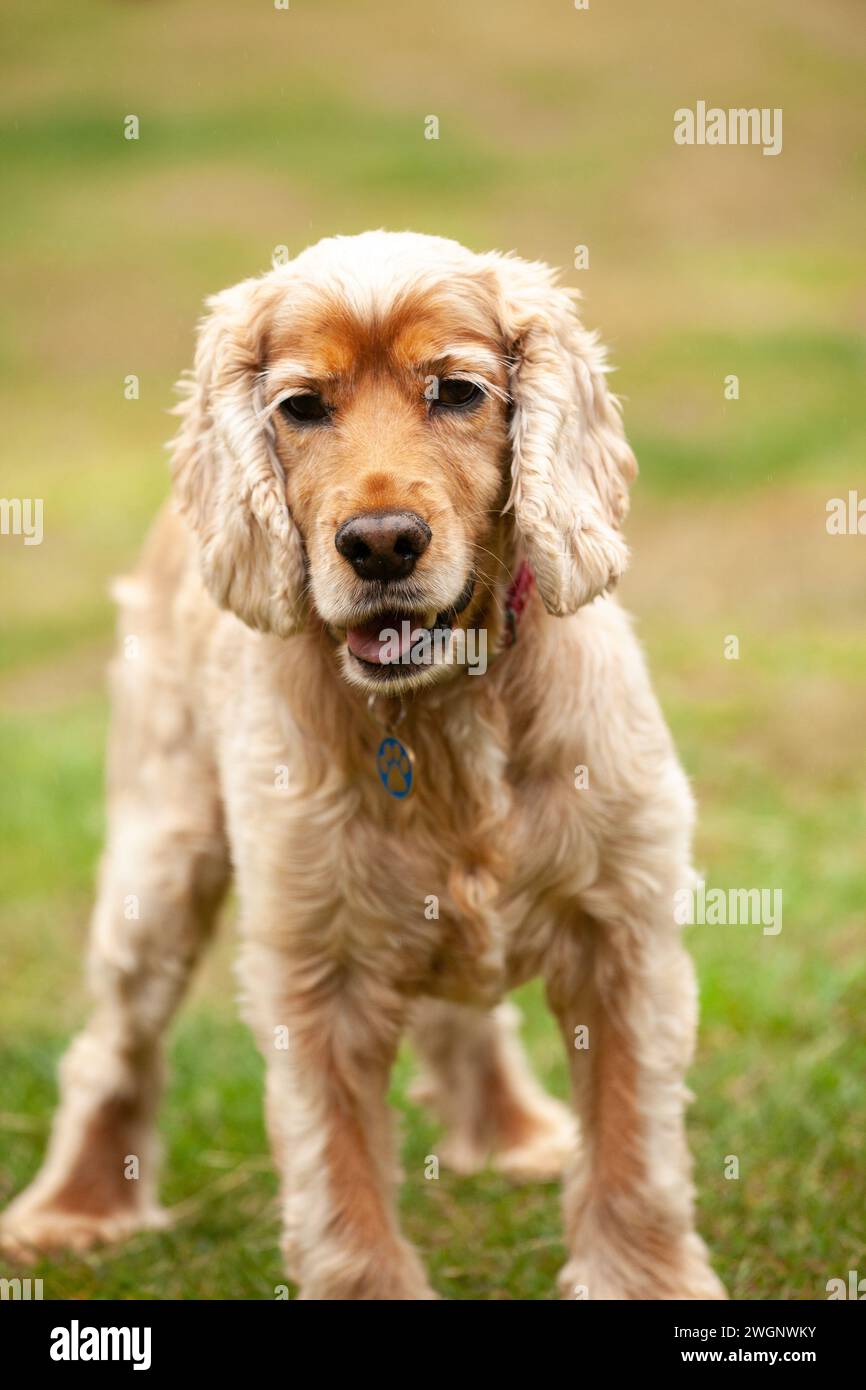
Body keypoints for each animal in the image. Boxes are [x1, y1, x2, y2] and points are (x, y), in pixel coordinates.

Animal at [1, 227, 722, 1301]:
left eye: (458, 392)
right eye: (302, 407)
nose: (381, 544)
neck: (442, 710)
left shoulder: (624, 930)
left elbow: (633, 1149)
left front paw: (642, 1281)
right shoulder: (315, 966)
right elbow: (336, 1176)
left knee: (464, 1013)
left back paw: (508, 1132)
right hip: (159, 862)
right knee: (111, 1047)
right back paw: (75, 1209)